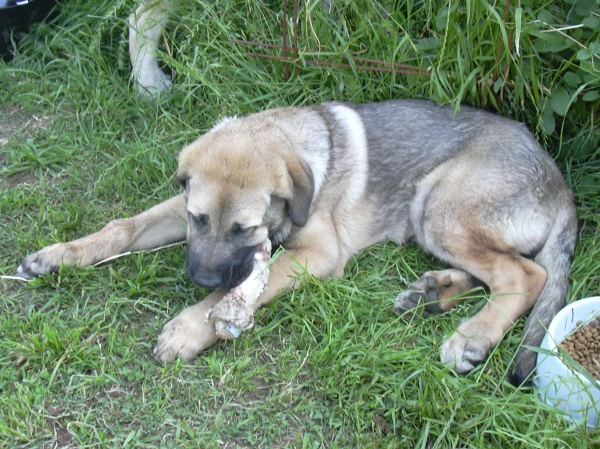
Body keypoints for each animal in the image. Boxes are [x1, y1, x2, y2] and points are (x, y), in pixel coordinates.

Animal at [16, 100, 580, 384]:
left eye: (243, 230)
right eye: (199, 219)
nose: (197, 277)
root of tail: (561, 182)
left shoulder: (317, 254)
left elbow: (241, 289)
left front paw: (191, 326)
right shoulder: (179, 206)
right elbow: (124, 227)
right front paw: (60, 255)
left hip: (439, 204)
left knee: (525, 273)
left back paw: (472, 337)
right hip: (432, 219)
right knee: (493, 269)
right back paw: (432, 294)